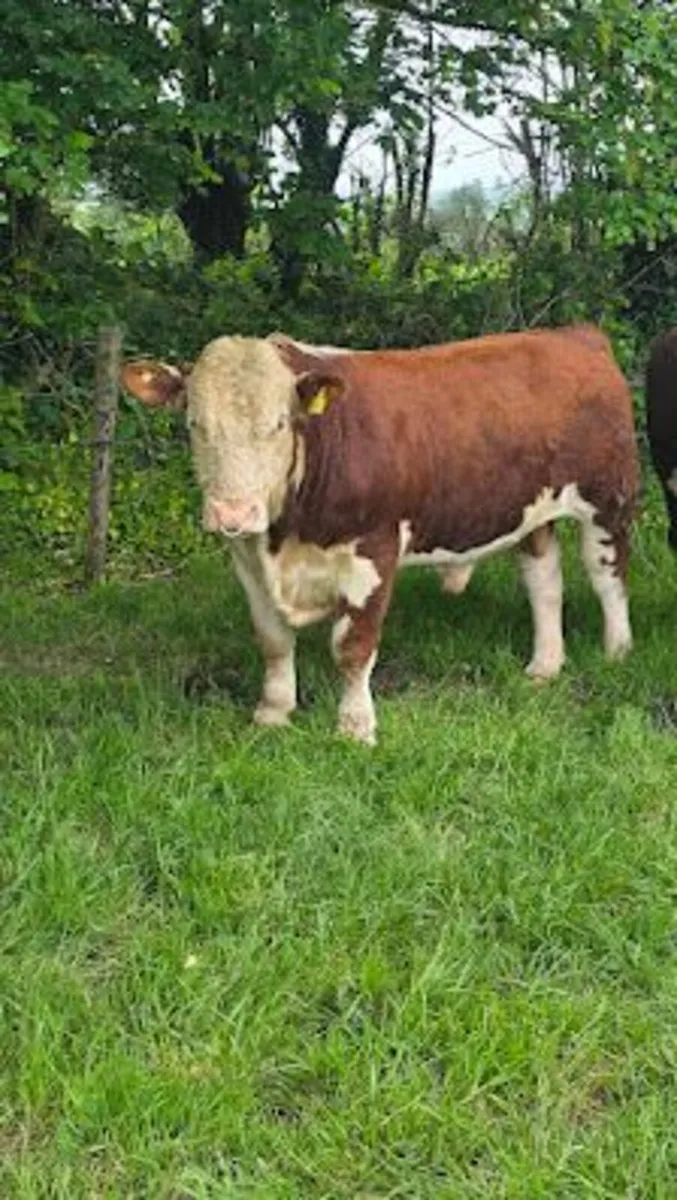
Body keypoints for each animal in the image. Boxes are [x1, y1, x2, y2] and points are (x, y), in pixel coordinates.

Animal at [121, 325, 639, 745]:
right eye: (195, 423)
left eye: (279, 424)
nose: (232, 511)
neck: (285, 538)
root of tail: (575, 334)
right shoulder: (247, 557)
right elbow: (272, 640)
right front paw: (273, 713)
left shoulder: (373, 552)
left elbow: (353, 648)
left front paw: (355, 729)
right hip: (534, 512)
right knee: (544, 582)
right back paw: (544, 666)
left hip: (608, 500)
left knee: (607, 575)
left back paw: (617, 650)